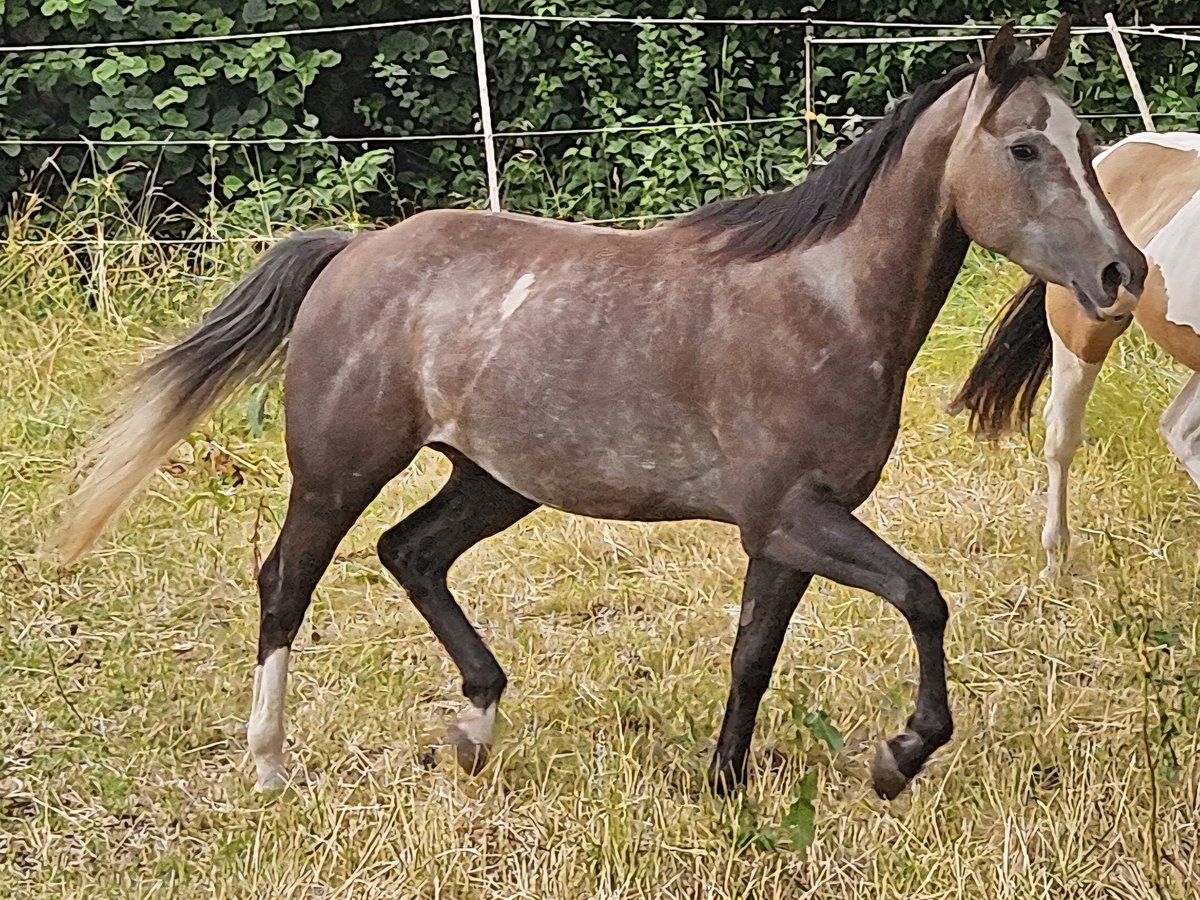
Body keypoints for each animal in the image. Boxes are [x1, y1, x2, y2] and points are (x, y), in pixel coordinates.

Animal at [49, 20, 1145, 800]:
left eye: (1087, 139)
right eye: (1024, 149)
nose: (1120, 273)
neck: (824, 301)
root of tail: (352, 252)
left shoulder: (787, 530)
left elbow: (752, 655)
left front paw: (725, 786)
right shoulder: (794, 515)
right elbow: (923, 598)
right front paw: (898, 755)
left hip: (494, 480)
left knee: (412, 553)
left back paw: (475, 731)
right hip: (338, 470)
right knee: (286, 584)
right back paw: (272, 763)